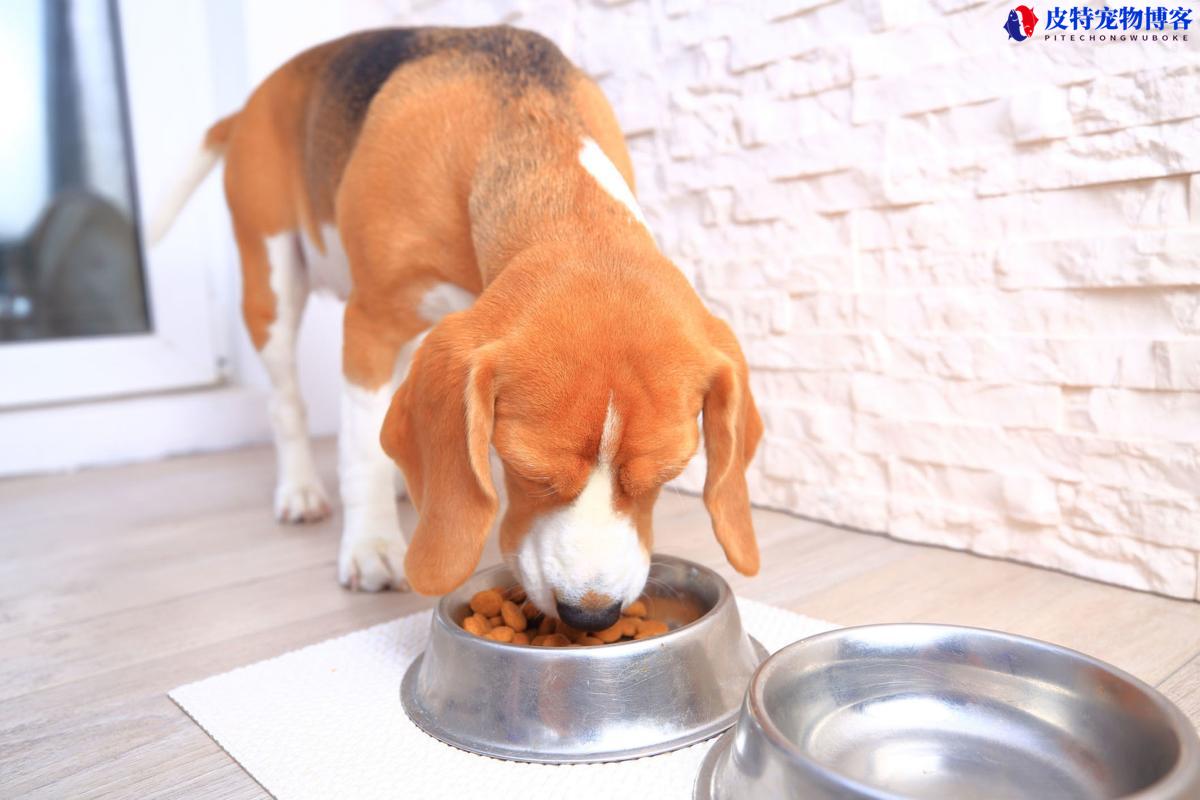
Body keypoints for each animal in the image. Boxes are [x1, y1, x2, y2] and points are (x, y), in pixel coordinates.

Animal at [154, 25, 763, 633]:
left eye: (666, 477)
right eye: (528, 472)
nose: (590, 614)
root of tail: (252, 103)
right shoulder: (371, 322)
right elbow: (360, 447)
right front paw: (371, 546)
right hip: (271, 284)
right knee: (287, 403)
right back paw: (301, 491)